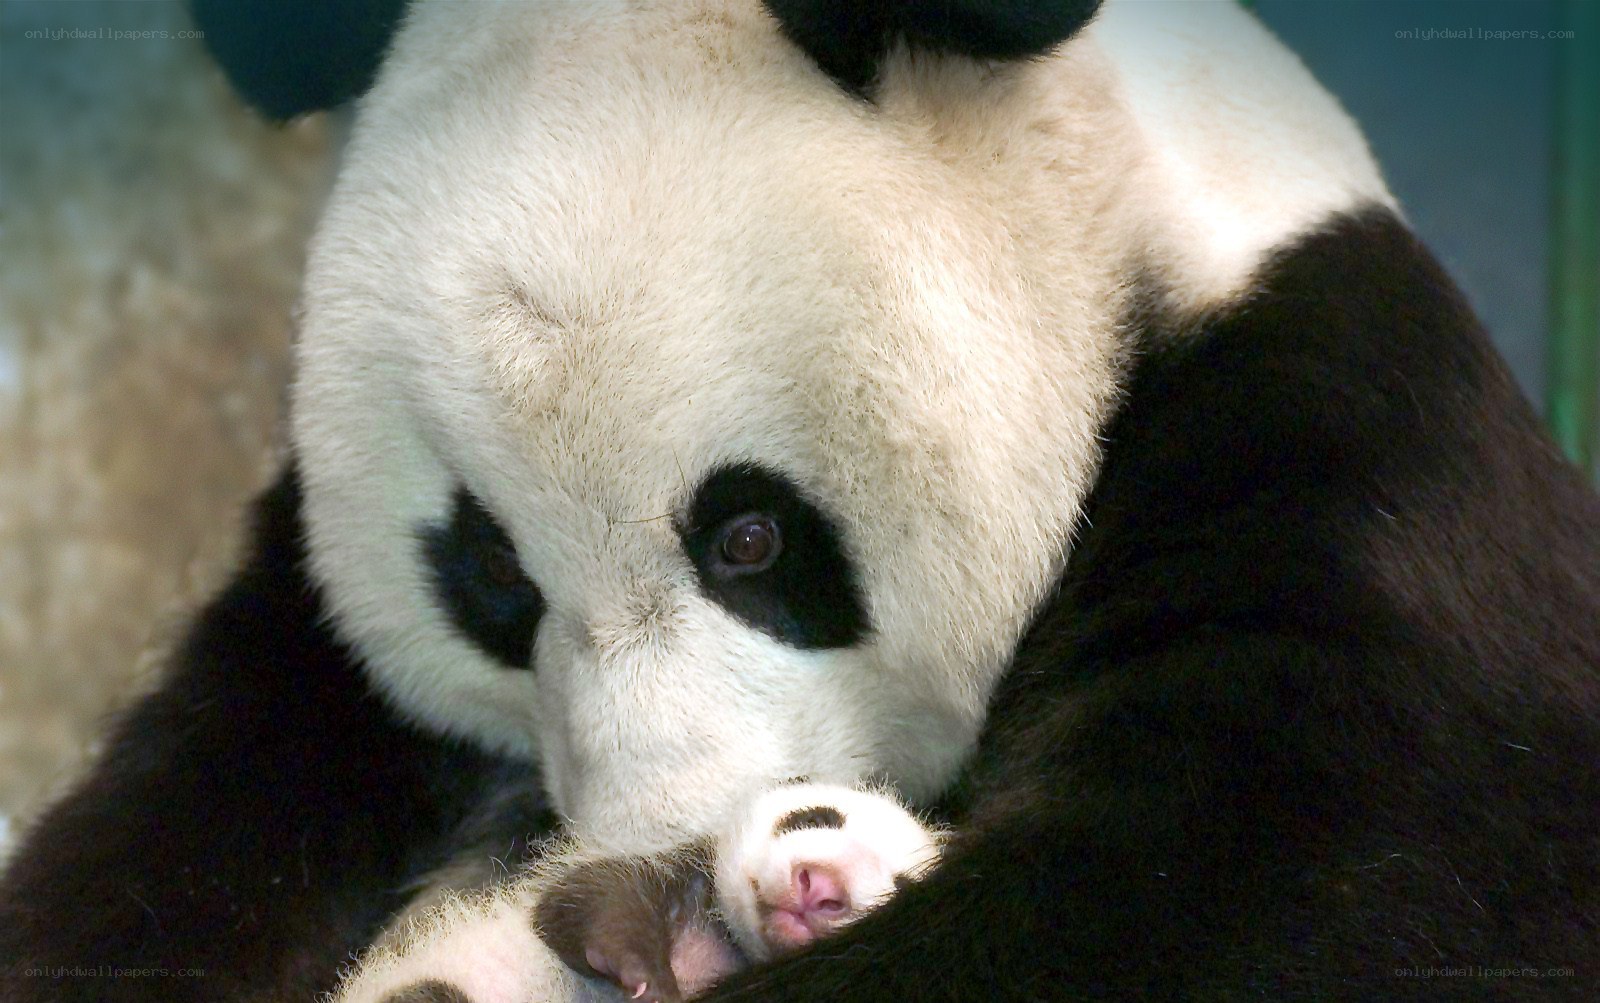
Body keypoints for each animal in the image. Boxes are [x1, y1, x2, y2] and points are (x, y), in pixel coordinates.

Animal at [2, 1, 1597, 1001]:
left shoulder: (1348, 471)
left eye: (748, 535)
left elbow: (1274, 890)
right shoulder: (305, 660)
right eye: (491, 574)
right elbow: (173, 841)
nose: (656, 843)